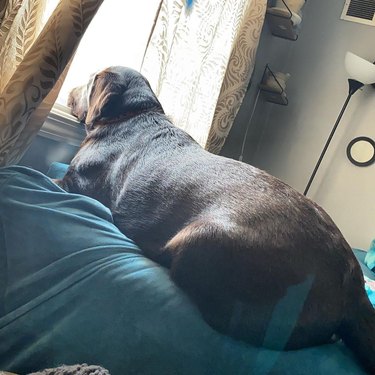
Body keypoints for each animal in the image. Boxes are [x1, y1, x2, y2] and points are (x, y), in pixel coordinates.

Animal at [55, 66, 375, 372]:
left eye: (89, 80)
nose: (69, 90)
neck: (134, 114)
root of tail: (353, 284)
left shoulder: (74, 182)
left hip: (202, 238)